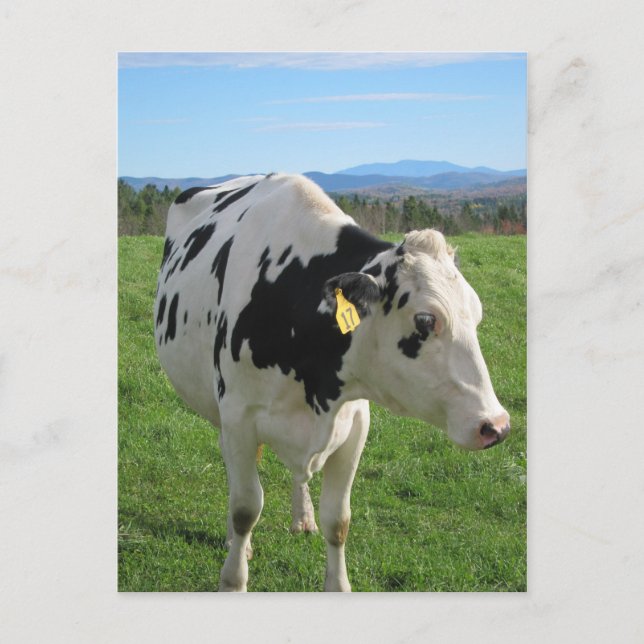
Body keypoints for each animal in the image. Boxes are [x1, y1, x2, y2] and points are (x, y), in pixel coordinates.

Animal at [154, 173, 510, 592]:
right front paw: (234, 578)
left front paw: (336, 581)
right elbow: (245, 508)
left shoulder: (355, 423)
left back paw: (302, 516)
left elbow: (338, 520)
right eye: (425, 320)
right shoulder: (239, 417)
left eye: (478, 314)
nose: (496, 425)